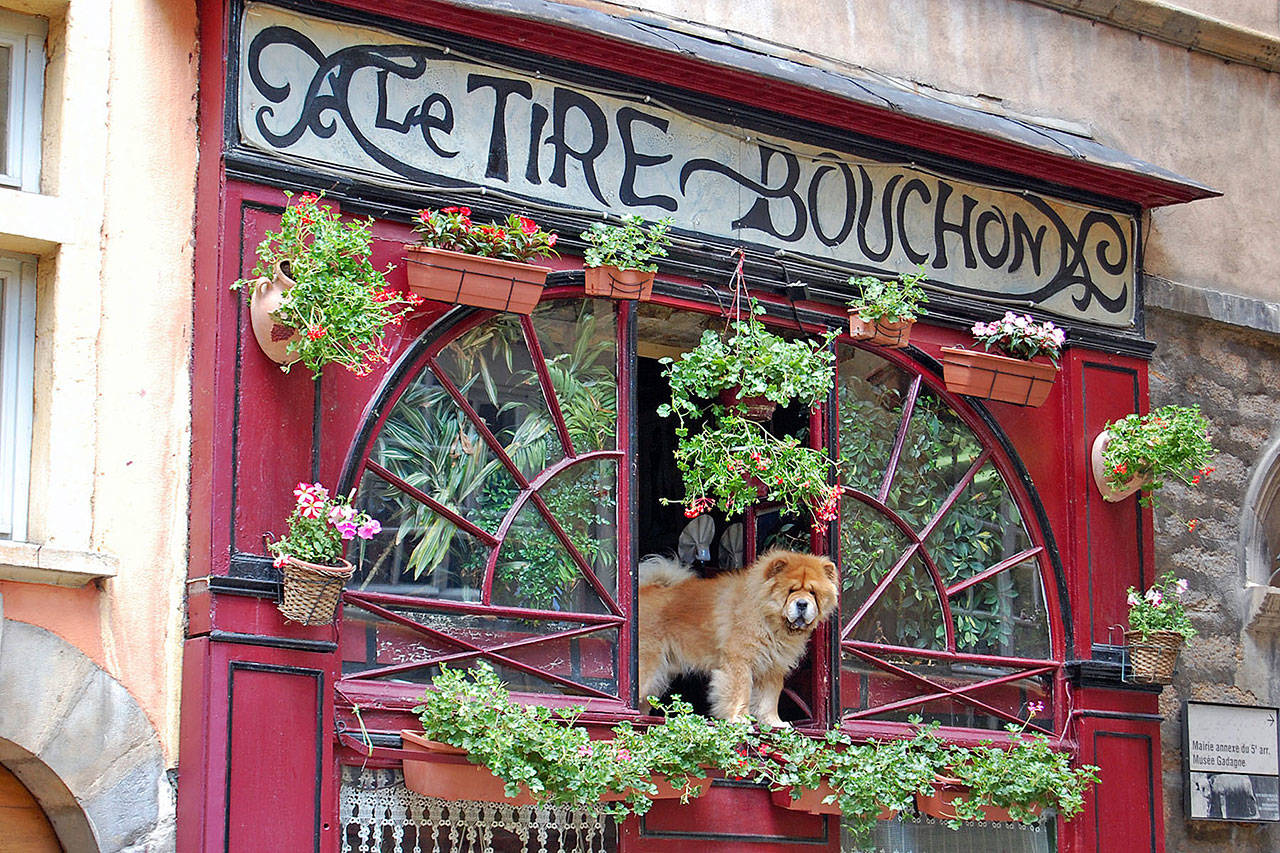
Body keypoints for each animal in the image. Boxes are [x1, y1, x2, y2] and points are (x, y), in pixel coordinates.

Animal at [640, 550, 839, 722]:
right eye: (791, 590)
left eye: (813, 592)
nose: (802, 604)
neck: (769, 620)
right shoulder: (740, 659)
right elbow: (741, 691)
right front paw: (740, 719)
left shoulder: (773, 666)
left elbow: (770, 698)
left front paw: (774, 722)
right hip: (648, 665)